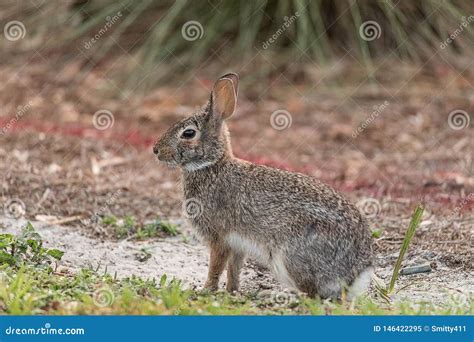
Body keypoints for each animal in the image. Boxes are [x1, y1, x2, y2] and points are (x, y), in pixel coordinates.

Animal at [155, 73, 374, 300]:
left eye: (188, 133)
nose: (156, 150)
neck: (212, 164)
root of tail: (356, 274)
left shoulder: (219, 238)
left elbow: (215, 267)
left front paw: (206, 290)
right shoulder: (237, 244)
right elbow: (234, 269)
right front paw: (232, 291)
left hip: (290, 256)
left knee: (312, 294)